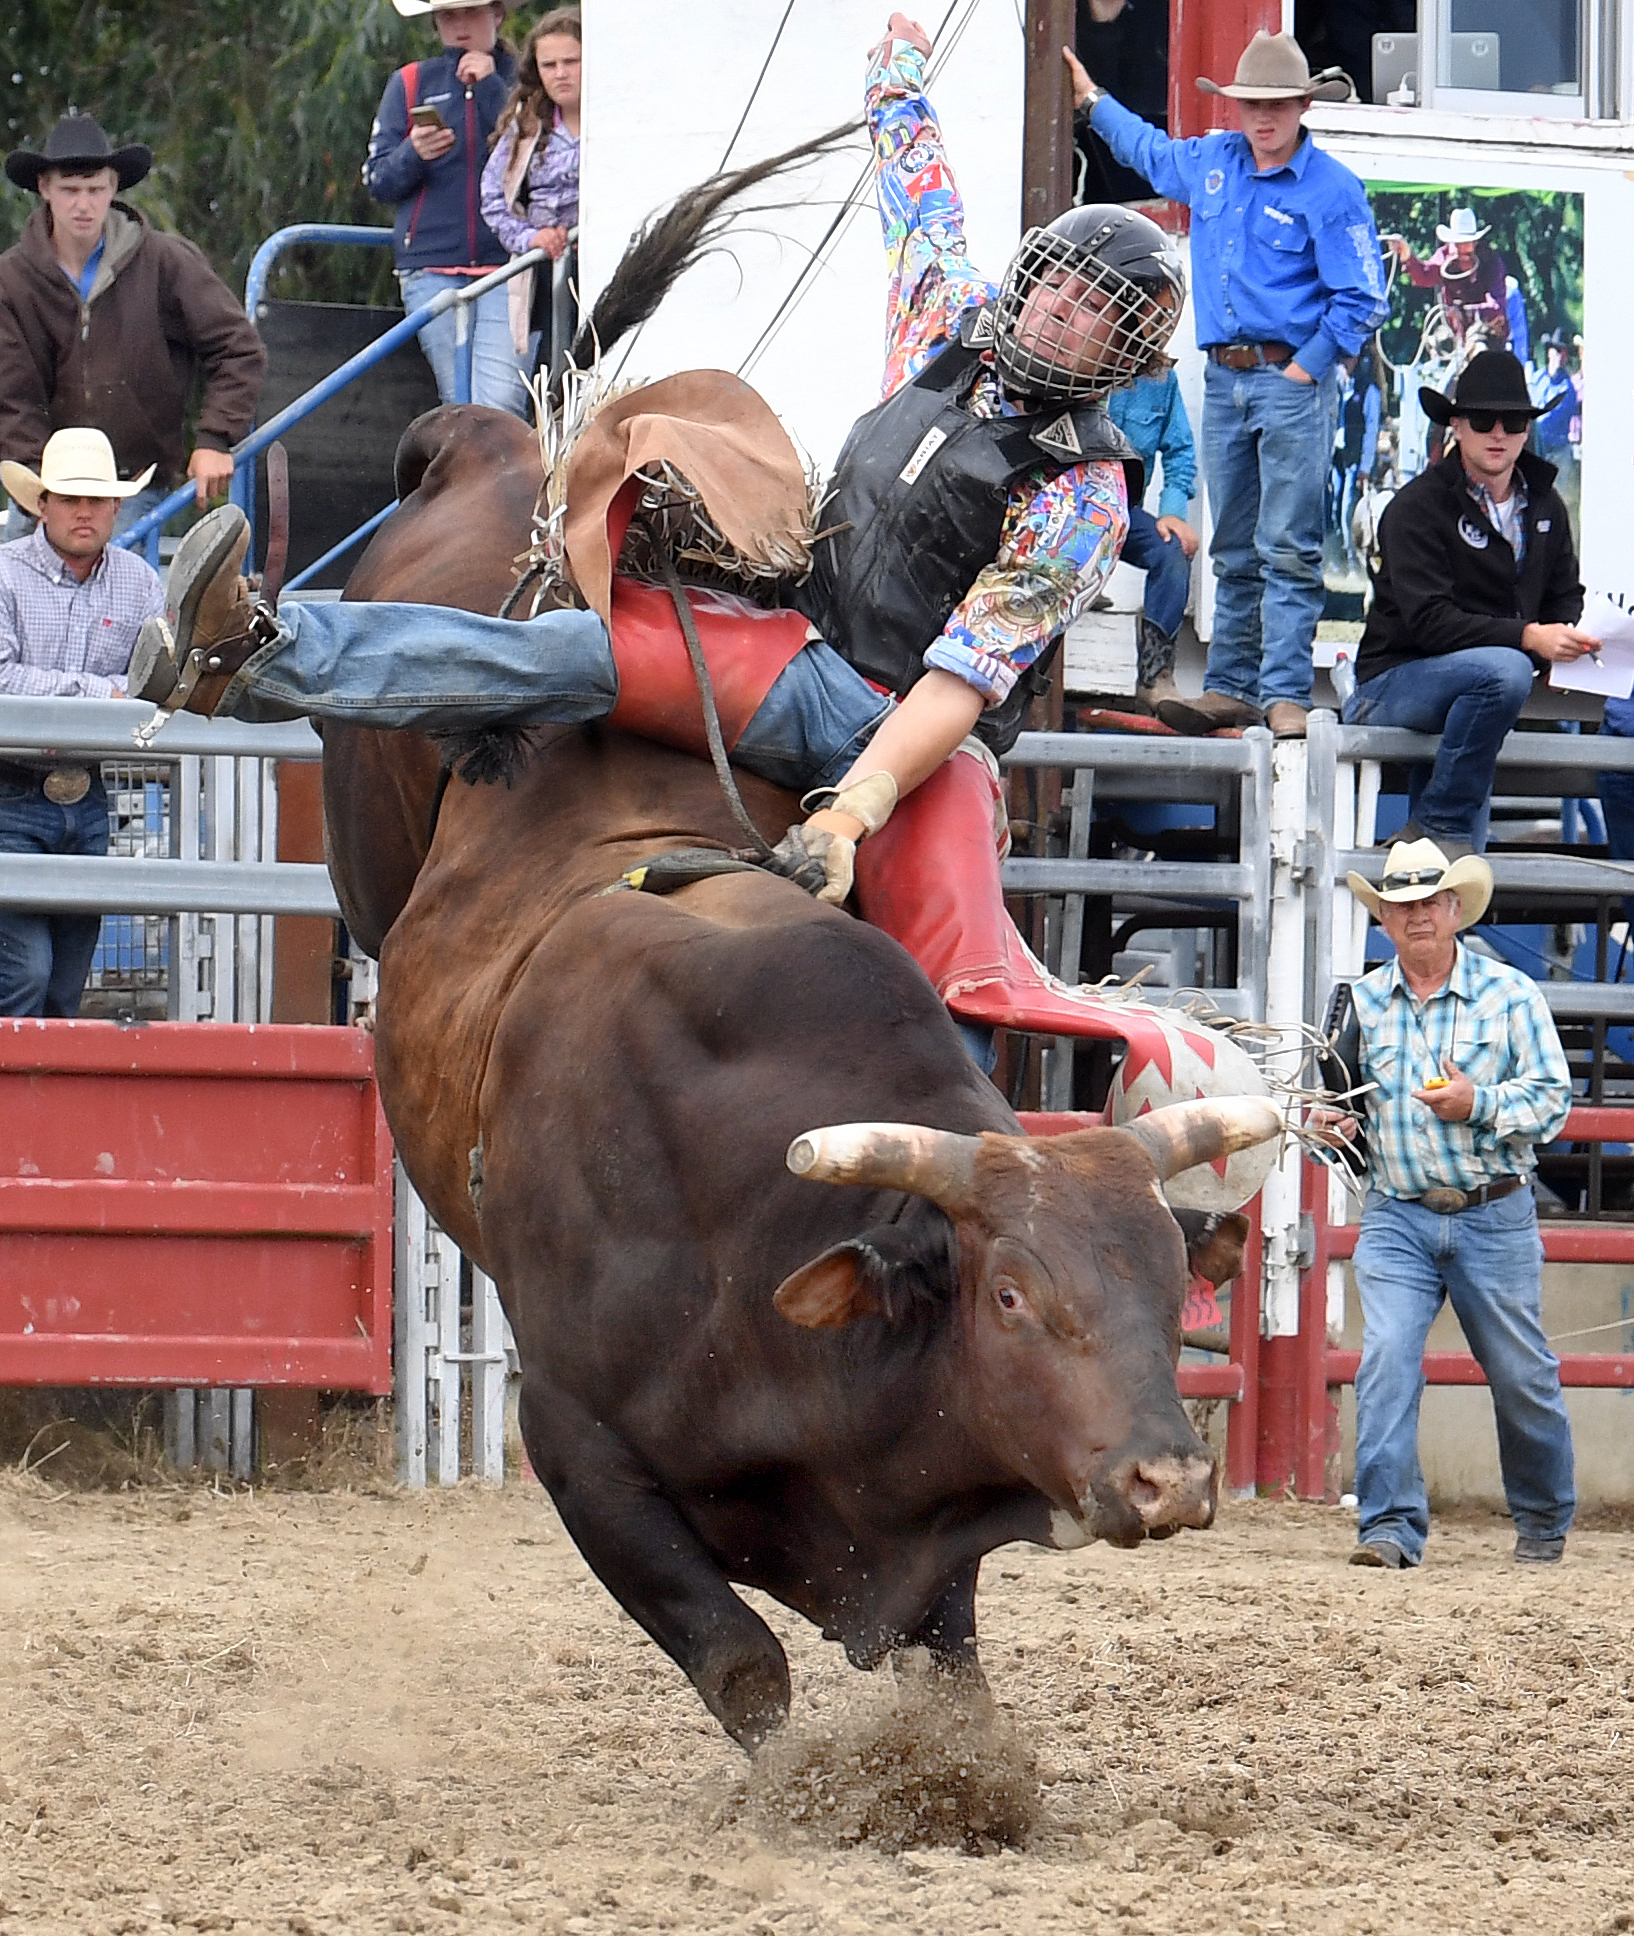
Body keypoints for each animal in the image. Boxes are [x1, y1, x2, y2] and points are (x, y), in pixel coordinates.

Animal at [319, 147, 1285, 1757]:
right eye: (1010, 1296)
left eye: (1166, 1277)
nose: (1166, 1479)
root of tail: (502, 450)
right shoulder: (577, 1443)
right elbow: (743, 1668)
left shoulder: (923, 1537)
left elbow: (944, 1671)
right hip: (389, 801)